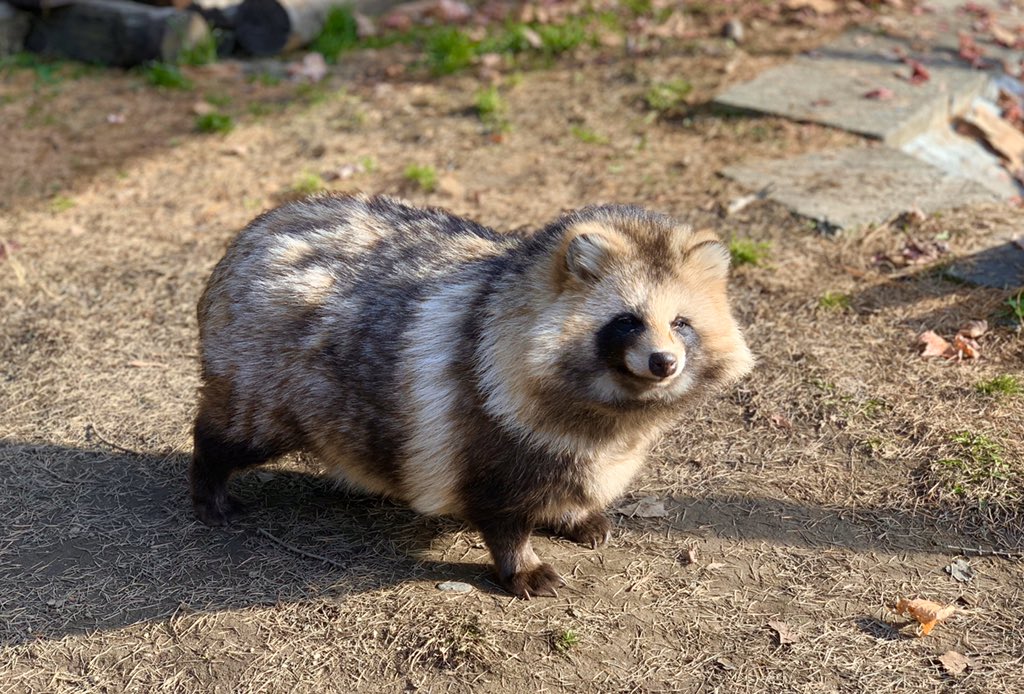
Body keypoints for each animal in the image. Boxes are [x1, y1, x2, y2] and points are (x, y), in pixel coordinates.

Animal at [192, 194, 753, 597]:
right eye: (627, 321)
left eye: (681, 323)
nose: (664, 362)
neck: (608, 407)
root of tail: (253, 232)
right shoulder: (481, 420)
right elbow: (501, 511)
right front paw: (520, 563)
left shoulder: (589, 444)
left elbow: (579, 474)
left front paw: (571, 512)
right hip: (263, 381)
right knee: (232, 430)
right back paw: (208, 481)